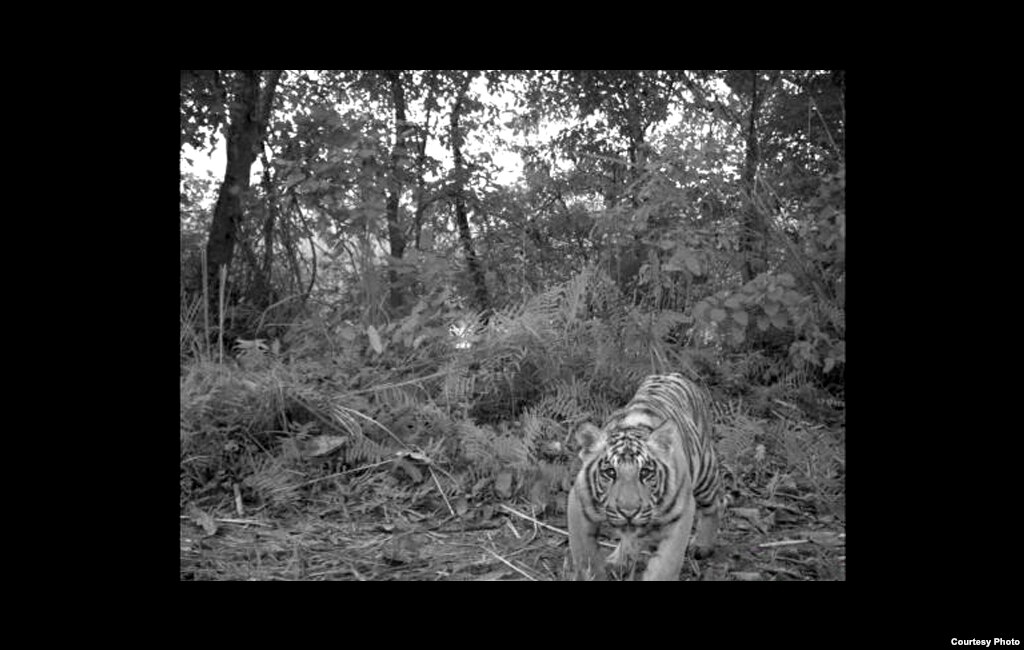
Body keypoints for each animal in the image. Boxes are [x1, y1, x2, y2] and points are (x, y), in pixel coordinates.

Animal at [567, 373, 724, 581]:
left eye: (645, 473)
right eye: (610, 472)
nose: (629, 511)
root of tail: (671, 374)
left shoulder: (682, 513)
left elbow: (666, 565)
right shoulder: (578, 504)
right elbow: (586, 557)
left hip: (704, 472)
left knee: (715, 505)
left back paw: (702, 546)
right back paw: (618, 562)